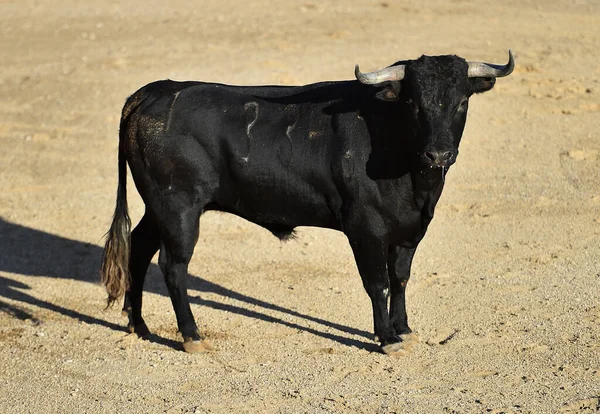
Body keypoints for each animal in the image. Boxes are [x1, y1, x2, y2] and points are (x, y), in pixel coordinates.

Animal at [101, 50, 512, 354]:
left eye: (462, 102)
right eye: (413, 103)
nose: (438, 154)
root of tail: (153, 92)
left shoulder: (409, 229)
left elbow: (400, 279)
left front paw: (404, 329)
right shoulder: (365, 229)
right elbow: (377, 282)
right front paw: (387, 338)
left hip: (157, 207)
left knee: (138, 247)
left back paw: (139, 325)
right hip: (178, 207)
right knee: (173, 266)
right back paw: (191, 336)